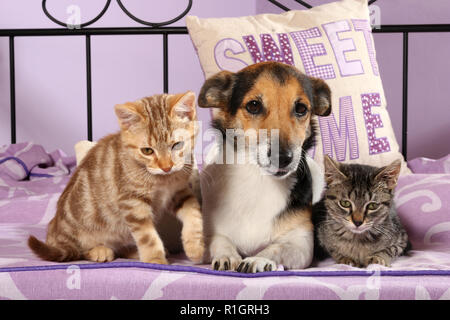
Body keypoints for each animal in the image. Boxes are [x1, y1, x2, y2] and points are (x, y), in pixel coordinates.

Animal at [28, 91, 204, 264]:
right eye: (147, 151)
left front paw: (195, 246)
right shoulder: (132, 202)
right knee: (78, 251)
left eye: (177, 145)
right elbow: (147, 237)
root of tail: (54, 231)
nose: (166, 167)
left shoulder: (179, 191)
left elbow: (193, 211)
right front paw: (155, 260)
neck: (164, 180)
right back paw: (100, 251)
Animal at [199, 60, 332, 272]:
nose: (283, 158)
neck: (257, 178)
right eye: (254, 105)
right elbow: (219, 240)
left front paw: (257, 259)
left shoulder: (301, 244)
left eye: (301, 108)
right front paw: (227, 255)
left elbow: (276, 248)